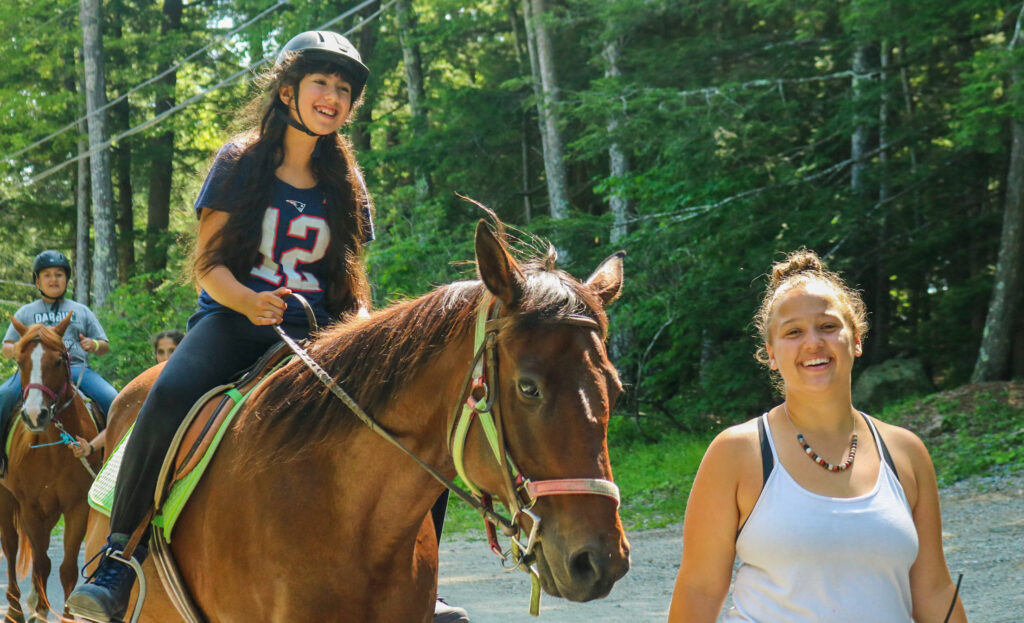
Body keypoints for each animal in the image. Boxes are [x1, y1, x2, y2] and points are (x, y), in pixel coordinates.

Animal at [2, 315, 102, 623]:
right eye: (20, 361)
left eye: (59, 361)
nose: (36, 415)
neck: (53, 448)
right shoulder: (30, 507)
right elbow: (42, 563)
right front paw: (40, 612)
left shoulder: (77, 506)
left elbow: (67, 567)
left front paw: (64, 615)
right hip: (7, 499)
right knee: (11, 547)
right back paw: (15, 610)